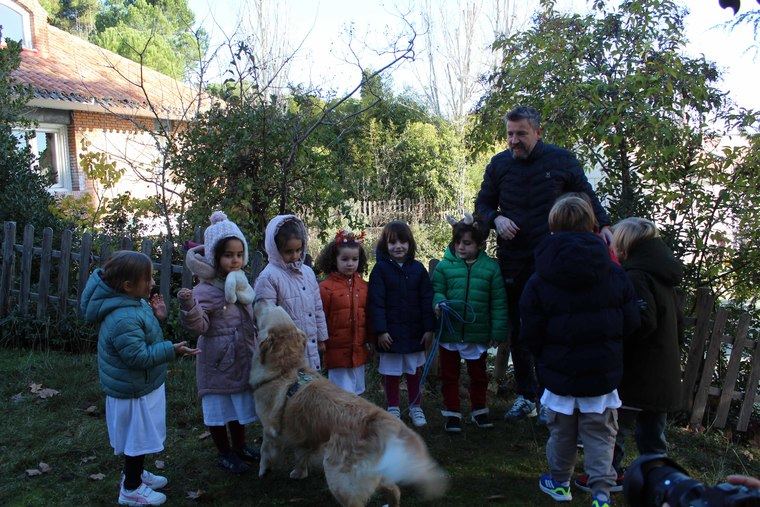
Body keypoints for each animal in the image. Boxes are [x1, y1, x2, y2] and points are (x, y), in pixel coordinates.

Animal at [252, 304, 448, 506]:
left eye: (268, 308)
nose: (258, 301)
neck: (286, 369)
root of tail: (381, 421)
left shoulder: (270, 429)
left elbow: (265, 450)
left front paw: (263, 471)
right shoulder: (304, 434)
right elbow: (301, 454)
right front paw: (299, 472)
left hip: (338, 476)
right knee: (394, 490)